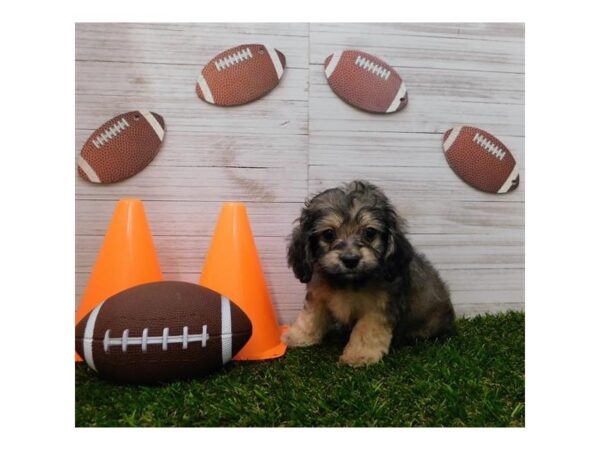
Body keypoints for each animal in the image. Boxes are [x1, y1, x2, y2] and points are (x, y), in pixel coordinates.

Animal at [282, 181, 454, 368]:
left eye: (369, 233)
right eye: (328, 234)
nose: (350, 260)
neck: (349, 282)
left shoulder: (378, 308)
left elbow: (366, 331)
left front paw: (359, 355)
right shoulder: (318, 296)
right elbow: (310, 318)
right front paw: (298, 336)